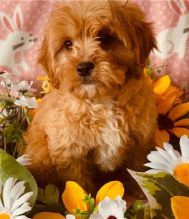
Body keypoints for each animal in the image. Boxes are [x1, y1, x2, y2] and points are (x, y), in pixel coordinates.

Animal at [24, 0, 157, 194]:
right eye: (68, 44)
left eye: (105, 38)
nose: (84, 67)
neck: (100, 100)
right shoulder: (70, 151)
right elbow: (78, 182)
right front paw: (86, 199)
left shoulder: (140, 141)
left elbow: (137, 171)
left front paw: (140, 193)